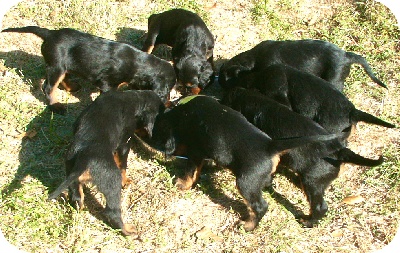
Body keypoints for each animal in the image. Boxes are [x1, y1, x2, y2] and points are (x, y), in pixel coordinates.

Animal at [1, 26, 177, 114]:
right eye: (168, 90)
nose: (169, 104)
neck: (139, 63)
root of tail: (50, 34)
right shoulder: (107, 84)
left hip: (64, 66)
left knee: (63, 78)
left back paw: (73, 87)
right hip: (56, 66)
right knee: (48, 87)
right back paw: (56, 106)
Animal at [47, 89, 166, 235]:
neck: (135, 98)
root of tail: (85, 159)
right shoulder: (124, 143)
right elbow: (122, 165)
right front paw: (126, 181)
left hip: (70, 170)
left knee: (76, 197)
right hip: (111, 181)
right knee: (112, 213)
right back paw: (128, 231)